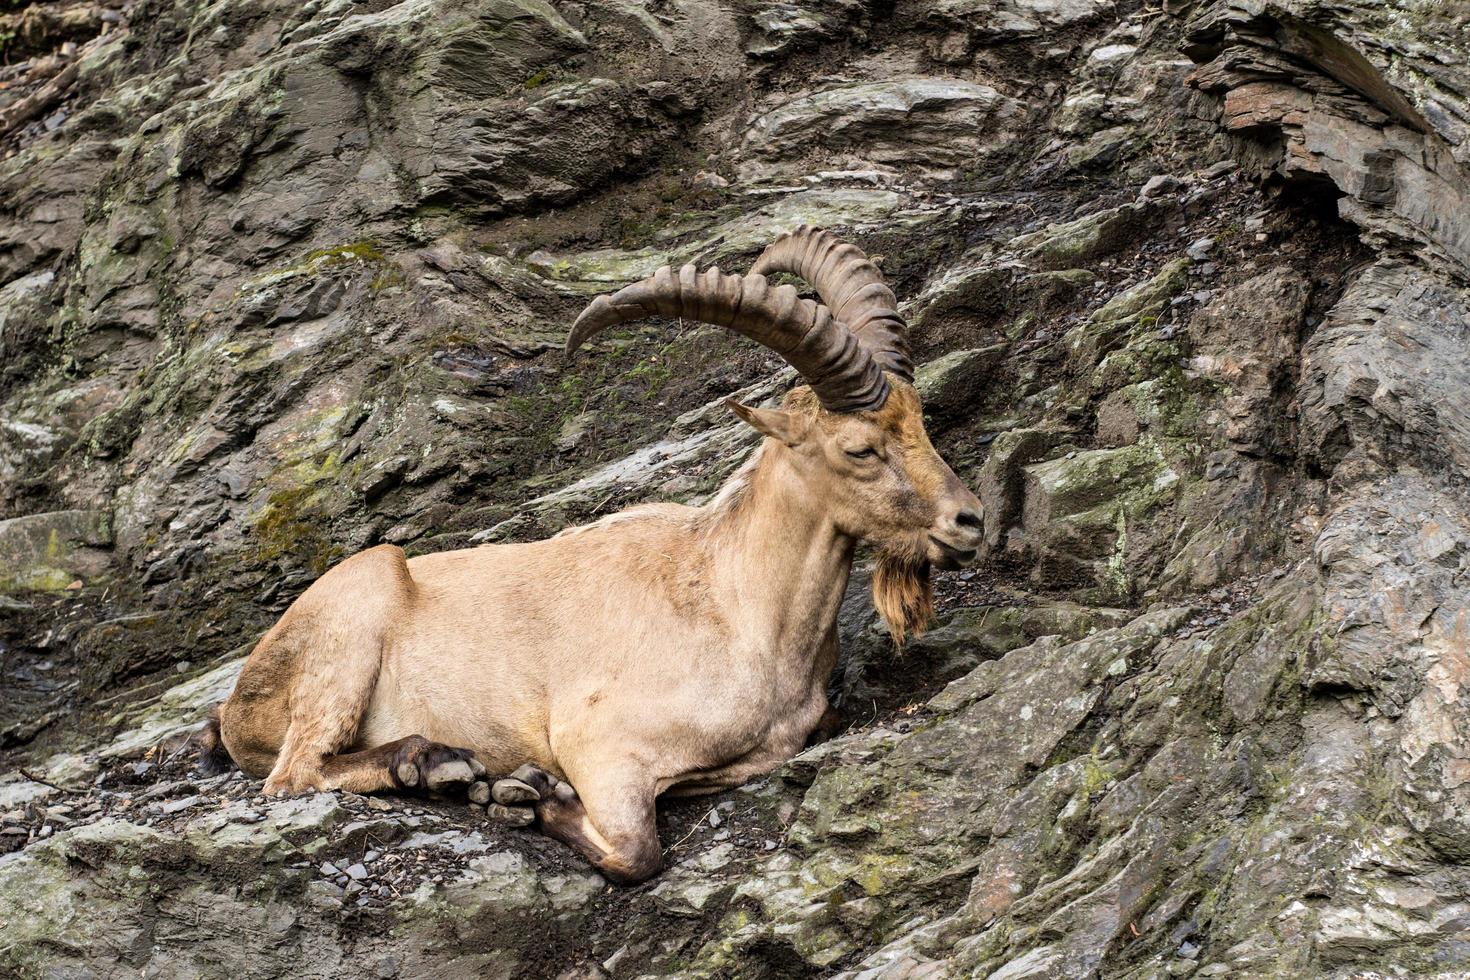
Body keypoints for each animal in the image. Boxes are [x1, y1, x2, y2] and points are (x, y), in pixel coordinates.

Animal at [204, 227, 987, 881]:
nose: (970, 521)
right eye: (860, 449)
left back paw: (435, 764)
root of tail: (237, 704)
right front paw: (522, 793)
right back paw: (435, 764)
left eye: (919, 421)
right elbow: (634, 853)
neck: (739, 606)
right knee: (295, 773)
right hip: (357, 611)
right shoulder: (597, 741)